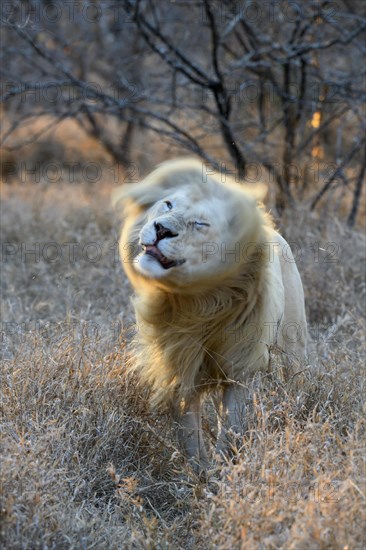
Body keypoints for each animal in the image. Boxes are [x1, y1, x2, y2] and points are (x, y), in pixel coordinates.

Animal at [113, 158, 308, 474]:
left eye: (200, 224)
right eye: (168, 204)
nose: (161, 229)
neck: (196, 302)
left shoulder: (241, 368)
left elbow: (231, 428)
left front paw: (224, 471)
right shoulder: (180, 364)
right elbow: (190, 435)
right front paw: (200, 474)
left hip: (294, 350)